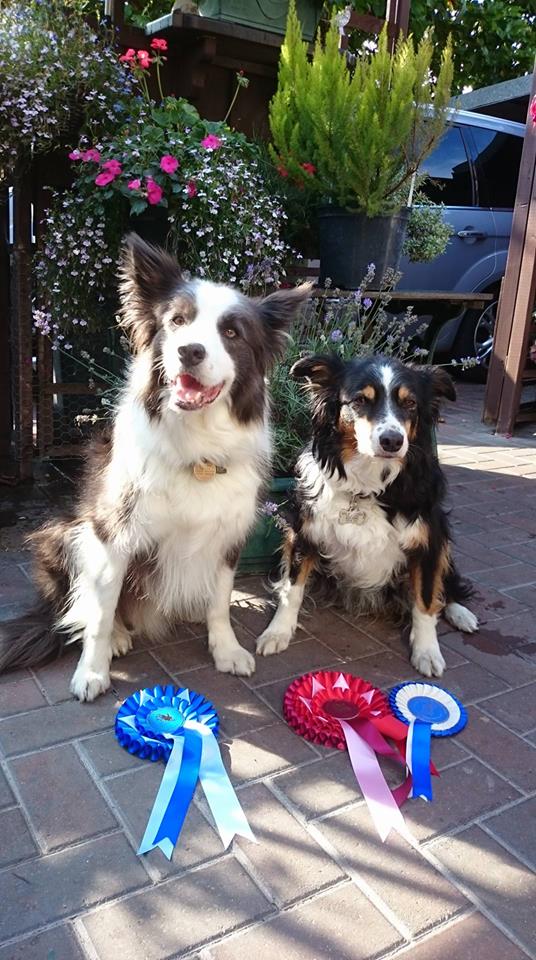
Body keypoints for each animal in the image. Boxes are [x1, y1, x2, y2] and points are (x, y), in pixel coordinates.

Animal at [0, 234, 310, 701]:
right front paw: (92, 671)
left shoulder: (230, 531)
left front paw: (225, 650)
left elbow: (221, 600)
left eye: (232, 332)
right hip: (67, 534)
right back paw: (117, 636)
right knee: (83, 607)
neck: (198, 447)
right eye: (177, 321)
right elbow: (101, 613)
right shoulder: (112, 533)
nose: (189, 351)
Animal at [256, 353, 478, 676]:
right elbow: (292, 588)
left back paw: (461, 614)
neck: (368, 486)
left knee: (445, 587)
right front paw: (278, 632)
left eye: (410, 403)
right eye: (360, 400)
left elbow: (425, 600)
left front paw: (427, 651)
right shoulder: (303, 530)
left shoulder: (429, 540)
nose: (392, 441)